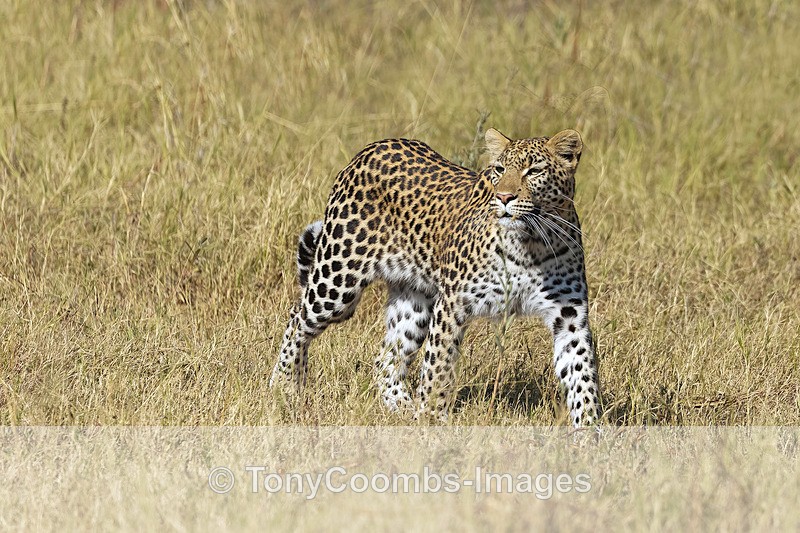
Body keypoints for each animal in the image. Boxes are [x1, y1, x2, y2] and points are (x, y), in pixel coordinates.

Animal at [269, 127, 601, 426]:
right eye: (500, 169)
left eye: (534, 171)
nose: (504, 197)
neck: (532, 241)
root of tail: (373, 147)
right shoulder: (453, 304)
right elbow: (438, 367)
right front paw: (430, 419)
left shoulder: (569, 314)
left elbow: (582, 374)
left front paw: (589, 430)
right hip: (337, 280)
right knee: (297, 317)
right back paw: (285, 386)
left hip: (414, 304)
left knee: (386, 358)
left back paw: (402, 408)